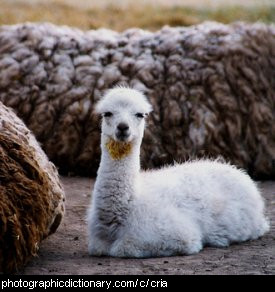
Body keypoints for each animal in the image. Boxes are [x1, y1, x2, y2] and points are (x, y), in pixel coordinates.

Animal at [88, 87, 270, 258]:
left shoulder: (175, 235)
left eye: (140, 114)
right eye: (107, 113)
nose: (123, 127)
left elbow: (124, 248)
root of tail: (239, 172)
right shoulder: (97, 244)